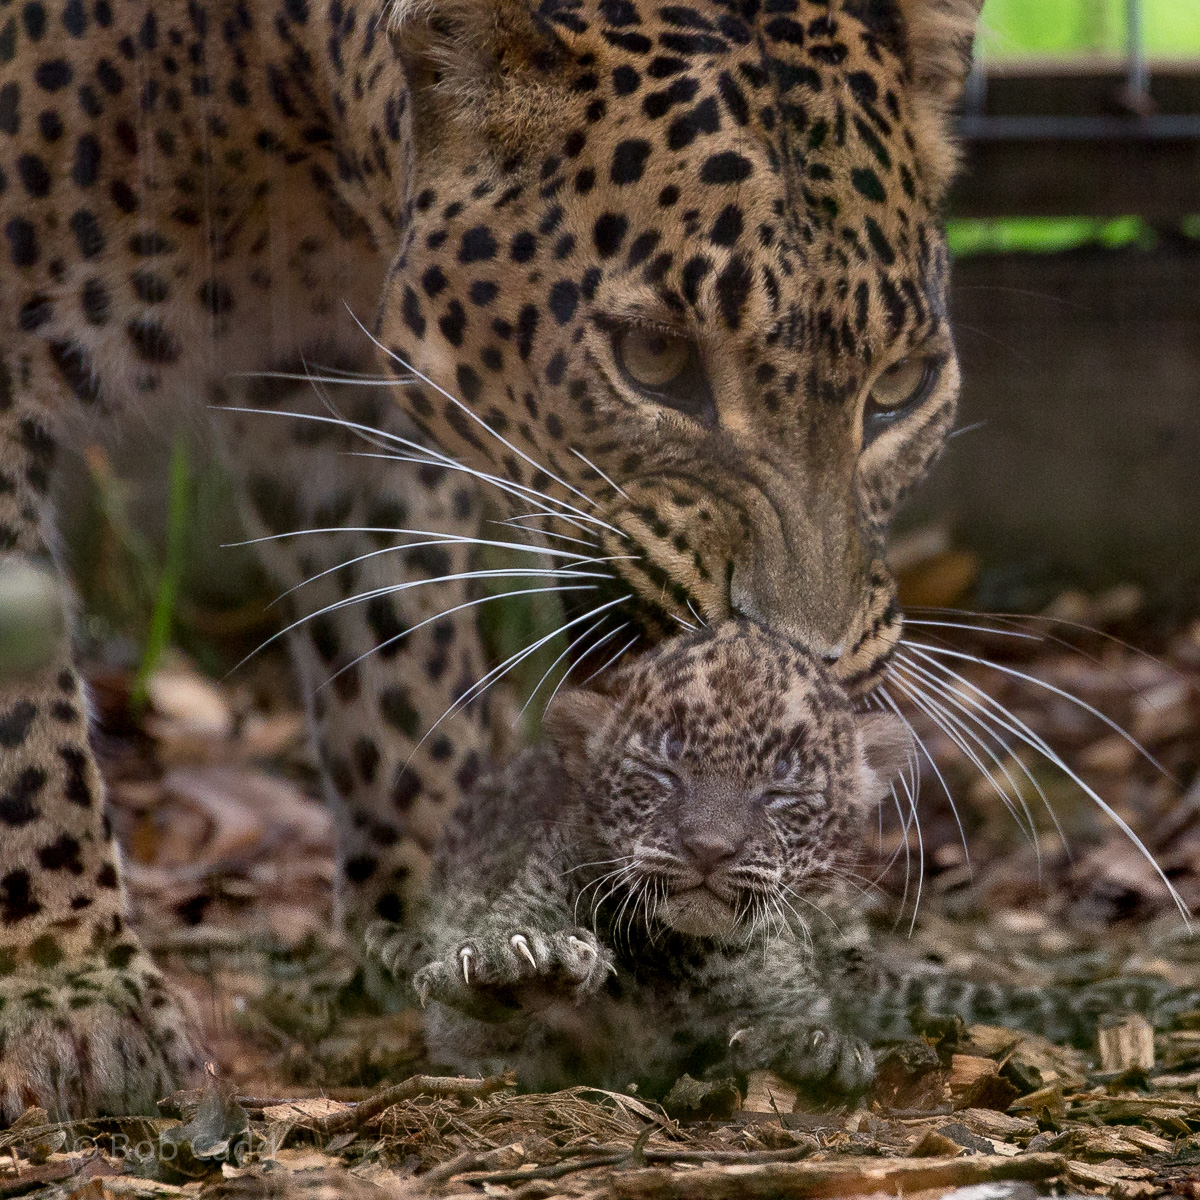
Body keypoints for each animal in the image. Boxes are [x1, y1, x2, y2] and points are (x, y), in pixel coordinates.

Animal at [0, 0, 987, 1121]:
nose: (806, 665)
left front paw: (453, 900)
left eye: (902, 387)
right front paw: (66, 986)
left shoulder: (338, 403)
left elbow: (396, 646)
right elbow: (23, 717)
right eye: (653, 358)